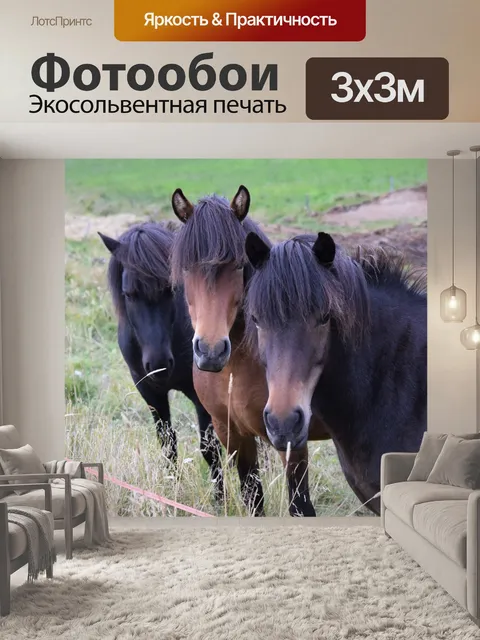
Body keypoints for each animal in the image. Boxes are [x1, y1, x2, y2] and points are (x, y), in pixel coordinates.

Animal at [98, 222, 223, 500]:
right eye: (128, 294)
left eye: (171, 289)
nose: (159, 364)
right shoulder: (149, 390)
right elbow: (168, 444)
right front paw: (171, 492)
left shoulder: (201, 396)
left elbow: (210, 449)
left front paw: (222, 502)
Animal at [170, 187, 330, 517]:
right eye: (187, 267)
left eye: (238, 265)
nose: (211, 351)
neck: (238, 370)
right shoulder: (232, 434)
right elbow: (253, 498)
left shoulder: (291, 442)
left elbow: (301, 507)